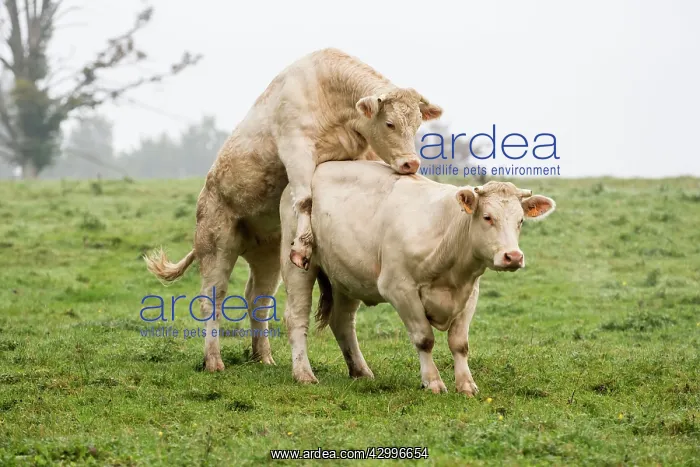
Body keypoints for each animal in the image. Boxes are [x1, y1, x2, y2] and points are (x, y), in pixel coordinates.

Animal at [144, 48, 443, 372]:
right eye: (389, 123)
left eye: (417, 124)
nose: (411, 163)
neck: (330, 94)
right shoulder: (296, 151)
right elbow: (305, 199)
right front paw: (302, 246)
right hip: (216, 243)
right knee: (212, 298)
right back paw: (213, 361)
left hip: (267, 257)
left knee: (258, 299)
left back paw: (263, 356)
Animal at [280, 161, 556, 394]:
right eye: (488, 217)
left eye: (520, 221)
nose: (513, 256)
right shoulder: (399, 288)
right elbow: (424, 338)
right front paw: (432, 381)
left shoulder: (470, 293)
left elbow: (460, 343)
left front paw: (466, 384)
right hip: (297, 264)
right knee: (296, 317)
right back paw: (304, 373)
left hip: (346, 276)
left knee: (343, 322)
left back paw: (360, 370)